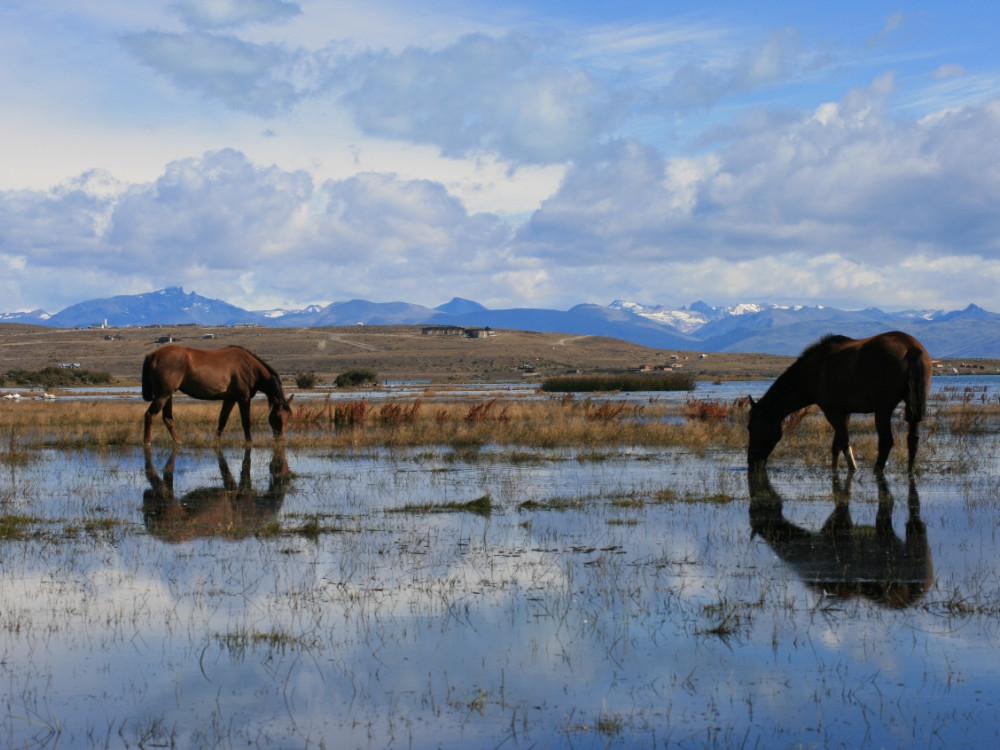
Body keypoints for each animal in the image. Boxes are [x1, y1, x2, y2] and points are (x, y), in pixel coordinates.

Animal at [143, 346, 294, 446]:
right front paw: (249, 441)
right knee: (150, 415)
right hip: (162, 395)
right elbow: (246, 421)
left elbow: (222, 420)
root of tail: (152, 355)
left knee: (167, 418)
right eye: (277, 417)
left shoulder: (230, 399)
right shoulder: (243, 398)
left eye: (288, 417)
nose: (281, 438)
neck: (250, 367)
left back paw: (178, 441)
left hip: (167, 395)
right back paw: (147, 442)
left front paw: (216, 440)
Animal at [752, 332, 928, 472]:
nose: (752, 462)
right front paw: (834, 469)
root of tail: (911, 347)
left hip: (882, 410)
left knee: (886, 442)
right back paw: (910, 470)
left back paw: (877, 470)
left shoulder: (832, 412)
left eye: (752, 427)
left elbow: (843, 443)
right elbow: (836, 444)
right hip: (913, 408)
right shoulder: (844, 412)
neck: (813, 370)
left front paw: (852, 469)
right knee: (913, 439)